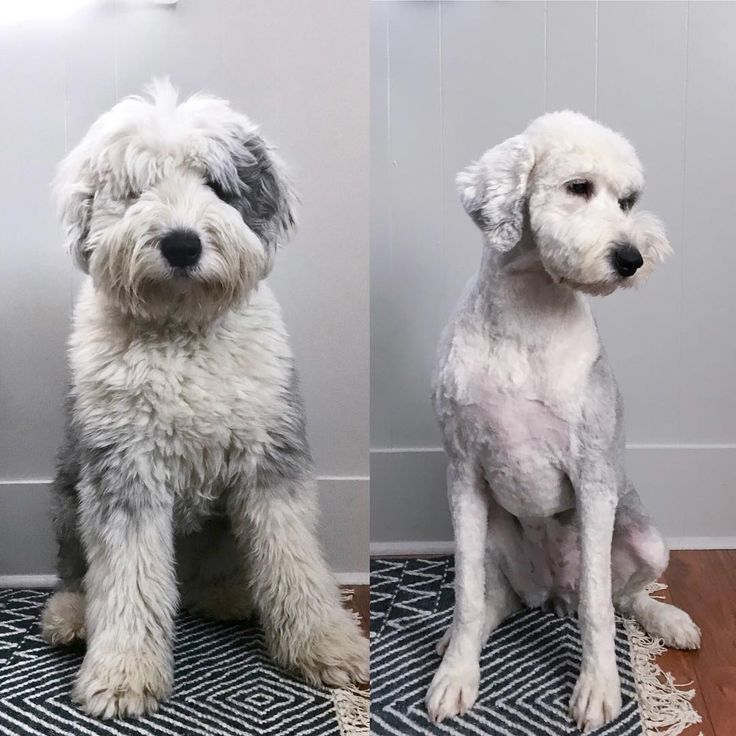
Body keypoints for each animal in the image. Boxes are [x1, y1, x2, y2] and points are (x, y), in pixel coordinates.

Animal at [40, 82, 368, 720]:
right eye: (136, 190)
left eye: (216, 185)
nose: (182, 244)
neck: (183, 333)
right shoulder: (124, 471)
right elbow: (126, 577)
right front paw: (122, 674)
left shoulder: (271, 462)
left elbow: (294, 557)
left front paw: (327, 645)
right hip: (69, 492)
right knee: (78, 572)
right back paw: (71, 617)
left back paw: (230, 596)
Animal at [428, 112, 700, 732]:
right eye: (579, 187)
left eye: (627, 201)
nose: (632, 258)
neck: (528, 313)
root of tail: (553, 593)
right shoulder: (463, 474)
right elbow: (468, 597)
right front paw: (457, 675)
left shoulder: (593, 477)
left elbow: (600, 607)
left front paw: (598, 688)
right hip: (493, 539)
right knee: (496, 599)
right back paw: (460, 638)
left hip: (648, 542)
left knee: (622, 597)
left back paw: (668, 620)